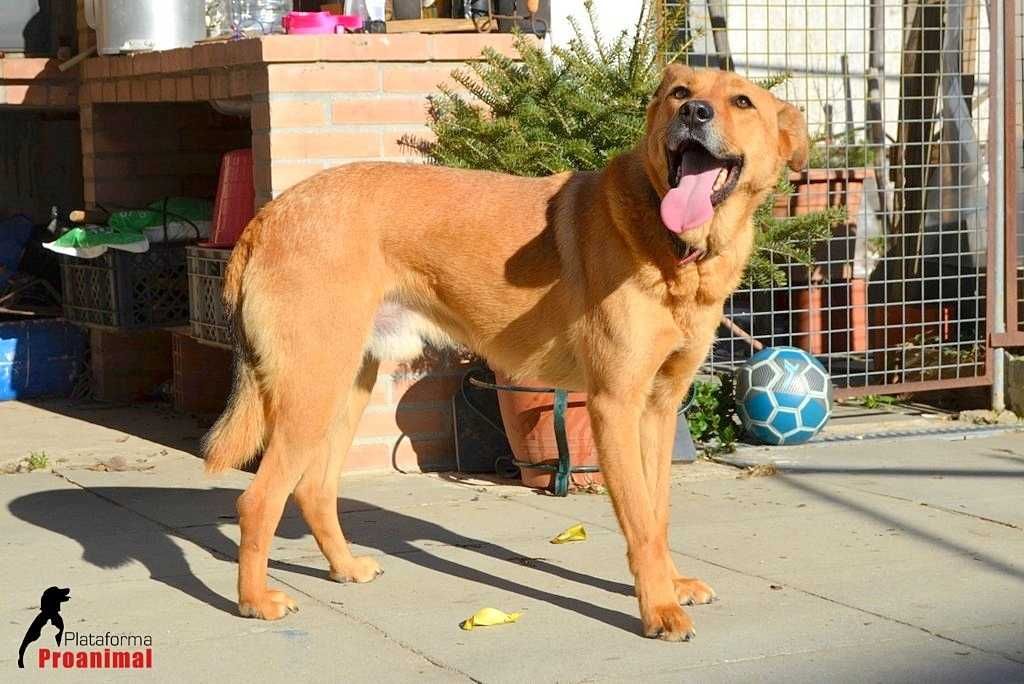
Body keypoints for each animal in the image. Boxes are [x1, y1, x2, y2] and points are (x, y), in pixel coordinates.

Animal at [203, 63, 802, 643]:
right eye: (680, 91)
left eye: (742, 101)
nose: (694, 112)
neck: (673, 245)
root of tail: (268, 216)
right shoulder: (616, 405)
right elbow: (639, 522)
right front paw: (657, 609)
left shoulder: (658, 408)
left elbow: (657, 515)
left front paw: (671, 588)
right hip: (312, 389)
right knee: (257, 501)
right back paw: (255, 601)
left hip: (347, 384)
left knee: (313, 488)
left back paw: (345, 568)